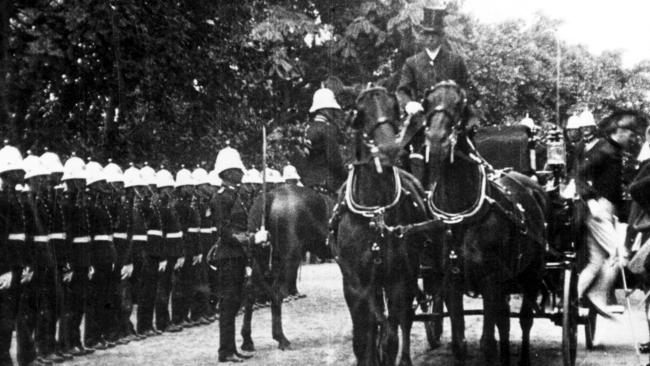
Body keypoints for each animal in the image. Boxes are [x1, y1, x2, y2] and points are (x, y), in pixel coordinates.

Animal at [238, 180, 330, 352]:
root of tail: (271, 196)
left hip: (260, 260)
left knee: (251, 290)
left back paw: (247, 340)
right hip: (288, 260)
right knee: (277, 293)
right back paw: (281, 338)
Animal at [330, 86, 426, 366]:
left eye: (395, 108)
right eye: (361, 112)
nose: (389, 150)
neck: (375, 212)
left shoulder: (398, 280)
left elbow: (392, 336)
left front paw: (388, 353)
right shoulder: (355, 284)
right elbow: (363, 337)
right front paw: (370, 354)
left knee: (404, 321)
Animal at [416, 81, 548, 364]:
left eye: (459, 104)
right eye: (427, 102)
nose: (437, 140)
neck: (460, 216)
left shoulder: (490, 282)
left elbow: (487, 342)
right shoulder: (452, 284)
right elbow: (460, 342)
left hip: (532, 273)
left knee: (525, 320)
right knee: (504, 321)